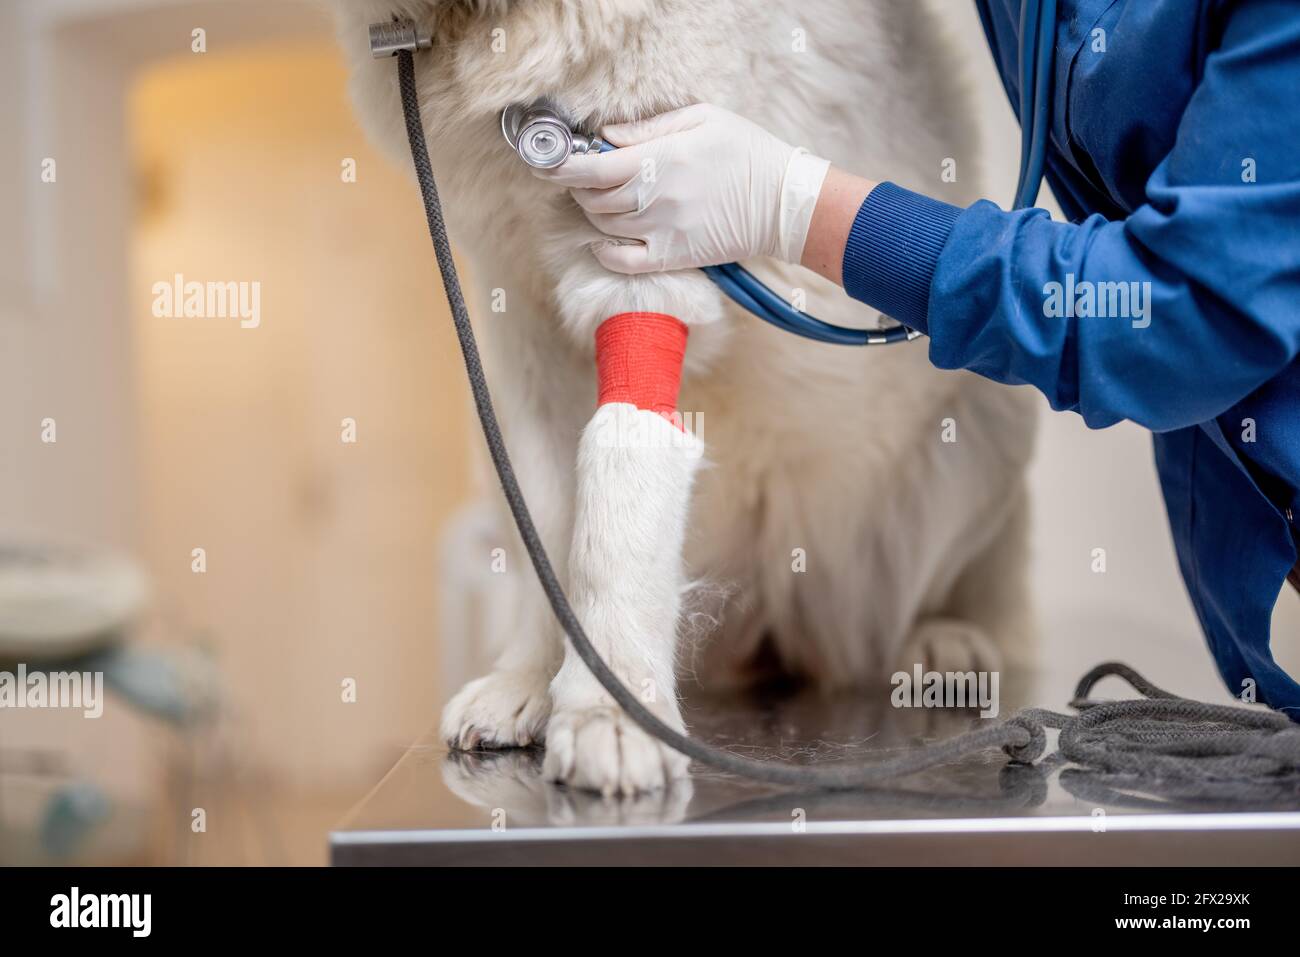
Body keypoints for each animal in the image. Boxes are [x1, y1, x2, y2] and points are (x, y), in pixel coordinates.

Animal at [332, 0, 1034, 790]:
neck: (484, 29)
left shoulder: (644, 240)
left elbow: (616, 488)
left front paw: (611, 710)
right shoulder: (519, 323)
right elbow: (544, 520)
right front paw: (532, 683)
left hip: (988, 413)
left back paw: (944, 640)